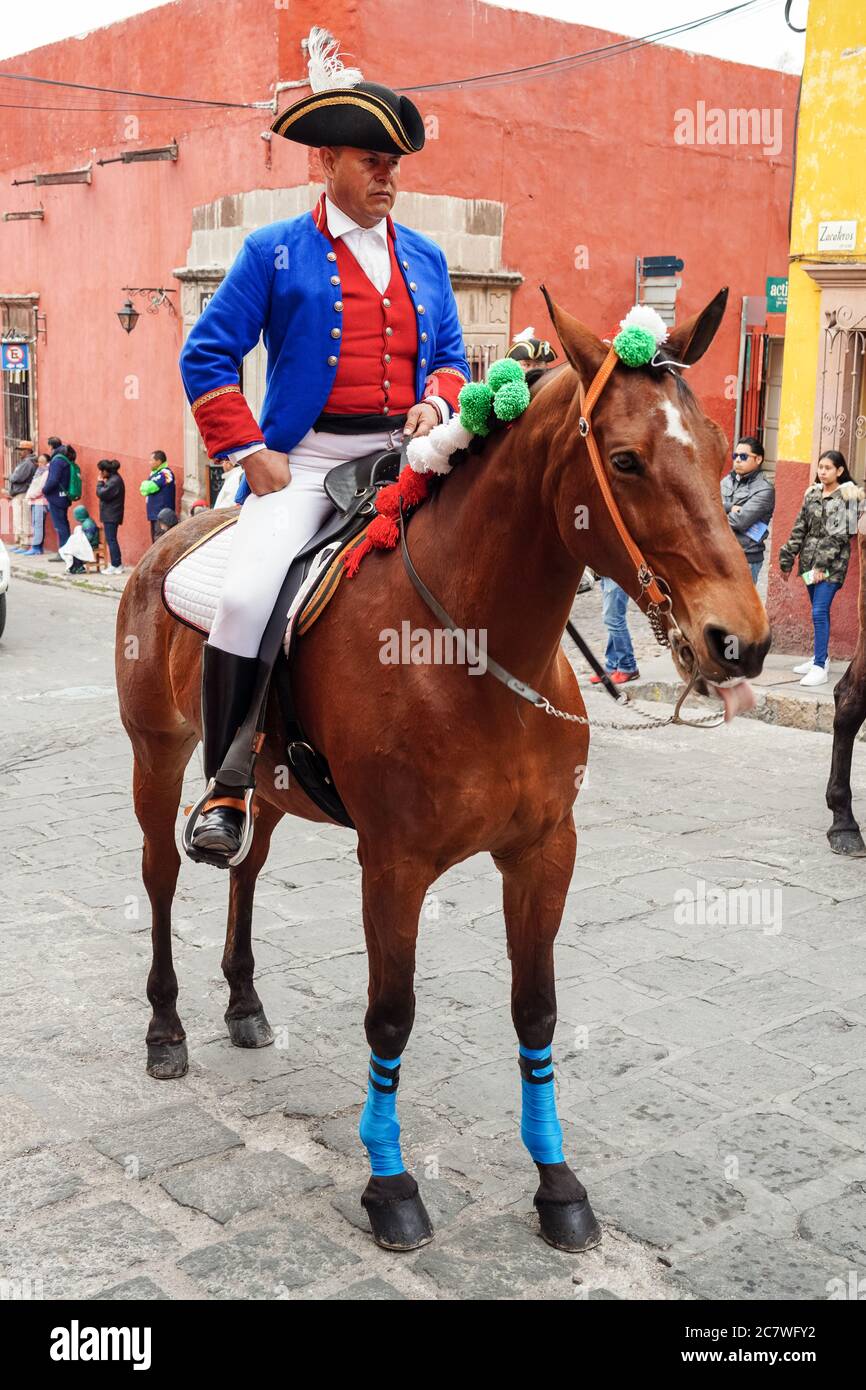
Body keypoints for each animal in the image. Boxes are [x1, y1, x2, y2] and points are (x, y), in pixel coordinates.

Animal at [116, 290, 772, 1251]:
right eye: (625, 460)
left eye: (727, 453)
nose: (742, 642)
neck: (473, 649)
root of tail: (180, 532)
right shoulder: (393, 864)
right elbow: (391, 1015)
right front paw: (389, 1183)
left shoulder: (544, 852)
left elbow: (536, 1008)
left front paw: (557, 1183)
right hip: (155, 754)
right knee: (161, 875)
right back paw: (165, 1029)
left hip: (264, 785)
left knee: (247, 868)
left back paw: (242, 1004)